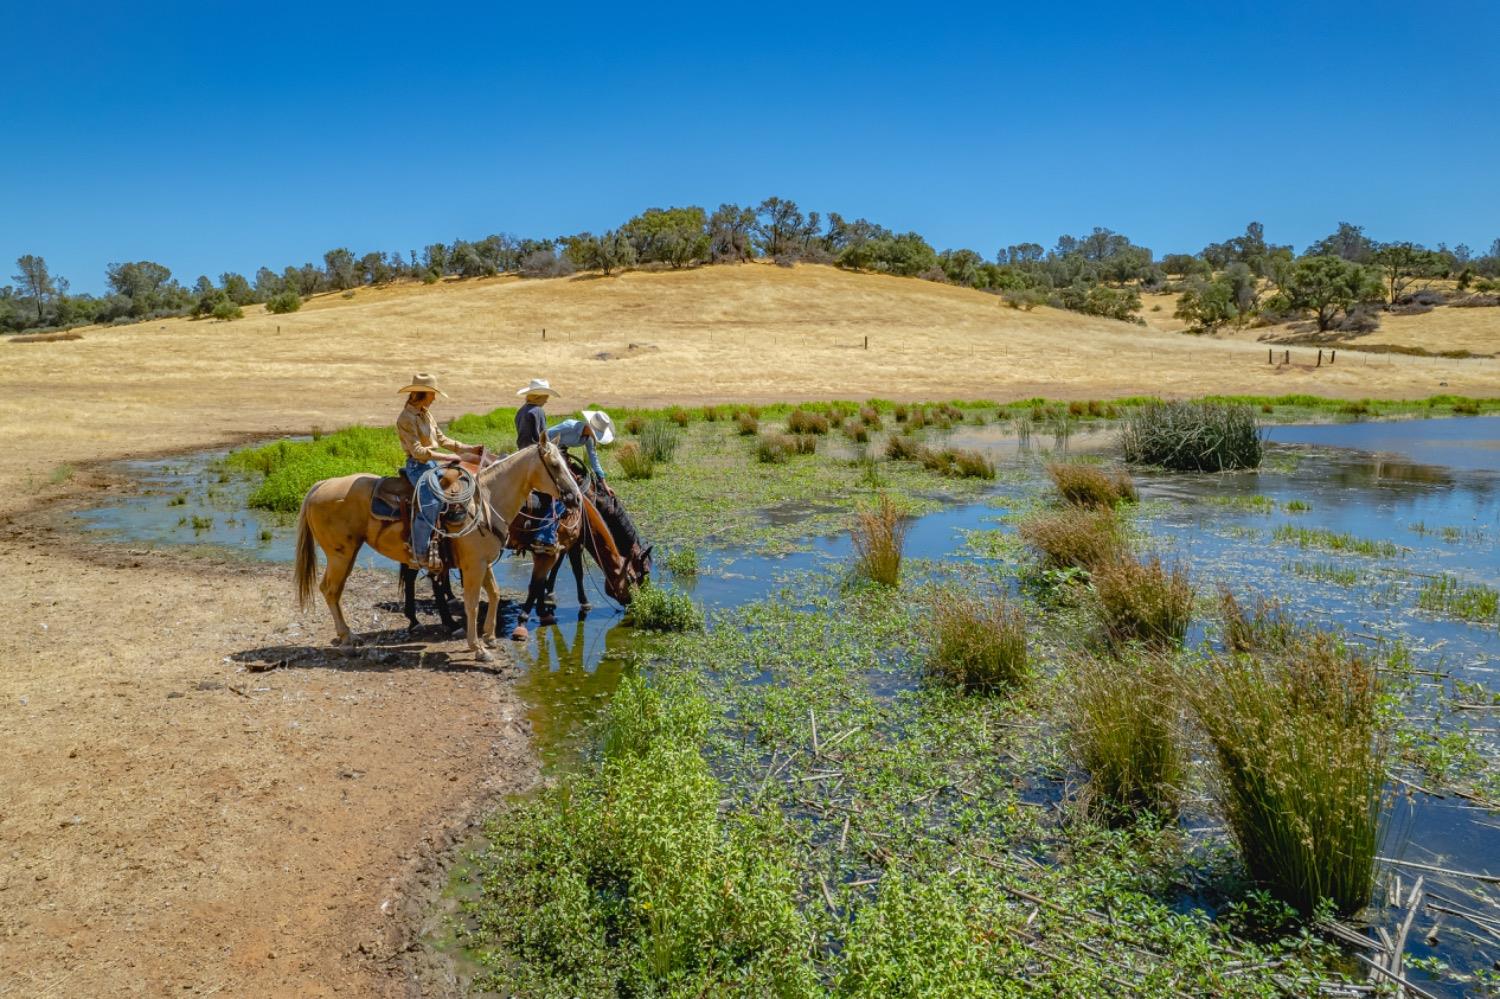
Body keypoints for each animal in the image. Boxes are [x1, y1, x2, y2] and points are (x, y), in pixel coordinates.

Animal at [291, 441, 579, 657]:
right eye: (555, 465)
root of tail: (321, 485)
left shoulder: (483, 562)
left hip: (345, 555)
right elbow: (472, 603)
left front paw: (489, 637)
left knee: (334, 591)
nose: (575, 498)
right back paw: (348, 637)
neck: (485, 500)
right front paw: (478, 648)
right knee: (330, 590)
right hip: (340, 554)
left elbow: (495, 595)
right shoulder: (473, 564)